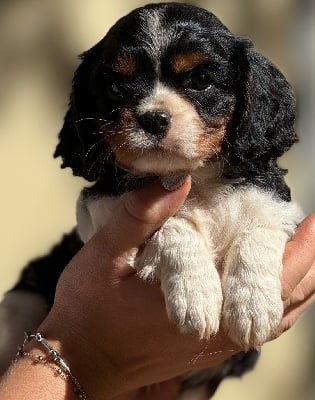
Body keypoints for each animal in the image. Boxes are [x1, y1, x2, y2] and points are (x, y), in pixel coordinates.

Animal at [1, 2, 304, 396]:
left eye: (201, 80)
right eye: (117, 86)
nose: (153, 119)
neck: (194, 177)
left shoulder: (280, 206)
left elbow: (259, 230)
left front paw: (252, 304)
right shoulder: (100, 211)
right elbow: (172, 225)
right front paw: (195, 292)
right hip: (20, 302)